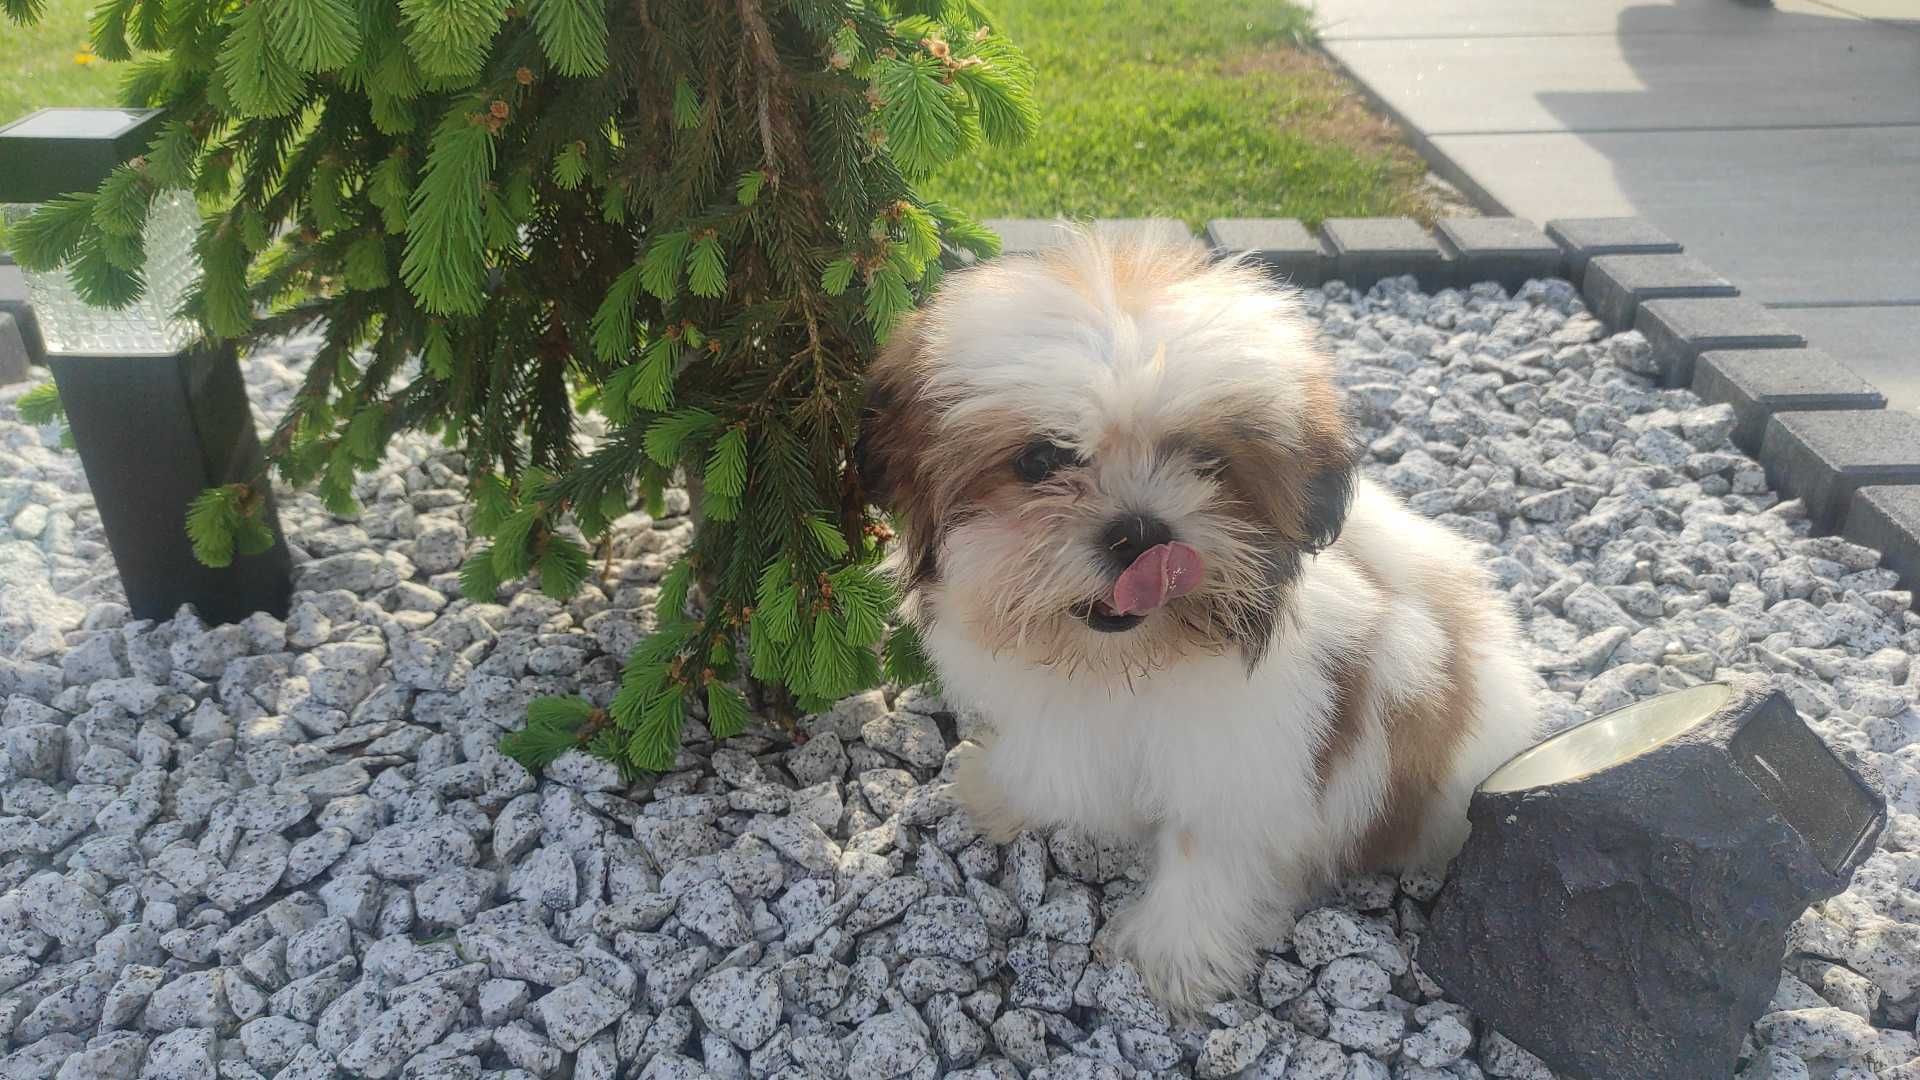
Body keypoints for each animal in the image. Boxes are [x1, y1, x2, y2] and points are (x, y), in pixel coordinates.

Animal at [856, 228, 1543, 1006]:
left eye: (1208, 463)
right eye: (1038, 459)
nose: (1140, 533)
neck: (1123, 666)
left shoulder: (1246, 761)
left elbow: (1205, 849)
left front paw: (1170, 957)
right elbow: (1046, 766)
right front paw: (1001, 794)